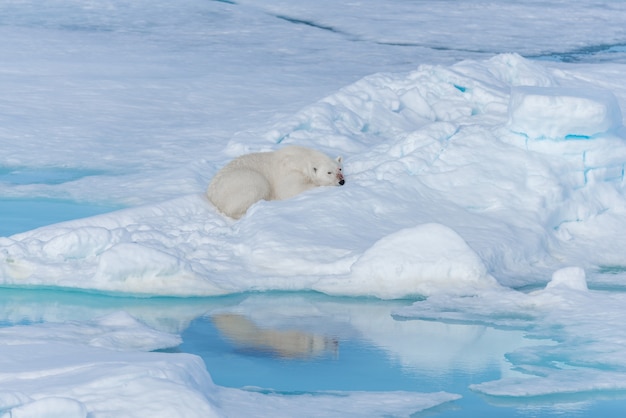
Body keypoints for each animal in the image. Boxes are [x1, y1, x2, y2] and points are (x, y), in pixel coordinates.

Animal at [206, 145, 344, 219]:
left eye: (339, 168)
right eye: (329, 172)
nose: (341, 181)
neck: (304, 158)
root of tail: (211, 196)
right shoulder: (289, 172)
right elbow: (291, 189)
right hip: (241, 181)